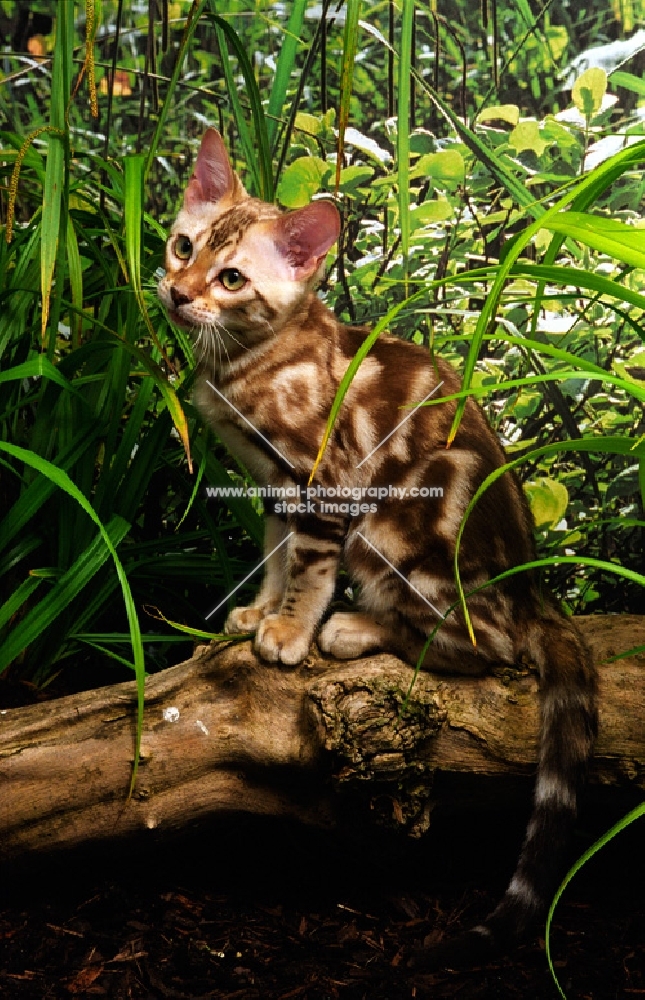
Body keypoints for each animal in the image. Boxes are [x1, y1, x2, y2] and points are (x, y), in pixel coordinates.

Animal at [158, 129, 596, 964]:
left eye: (231, 278)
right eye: (181, 246)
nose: (177, 293)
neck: (250, 360)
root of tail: (531, 588)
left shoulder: (321, 479)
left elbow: (307, 565)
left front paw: (288, 632)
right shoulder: (273, 482)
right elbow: (275, 550)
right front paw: (257, 611)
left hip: (397, 528)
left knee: (482, 647)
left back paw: (359, 629)